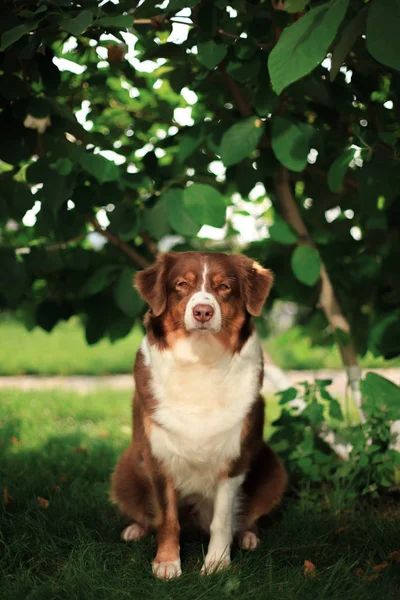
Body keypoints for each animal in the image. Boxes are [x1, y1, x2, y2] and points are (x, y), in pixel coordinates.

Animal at [111, 251, 288, 580]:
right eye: (182, 284)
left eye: (224, 287)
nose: (203, 311)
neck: (200, 360)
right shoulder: (159, 455)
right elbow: (167, 518)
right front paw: (167, 562)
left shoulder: (234, 457)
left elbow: (222, 519)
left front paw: (217, 563)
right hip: (125, 467)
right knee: (148, 515)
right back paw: (135, 529)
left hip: (274, 467)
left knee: (246, 517)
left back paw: (248, 536)